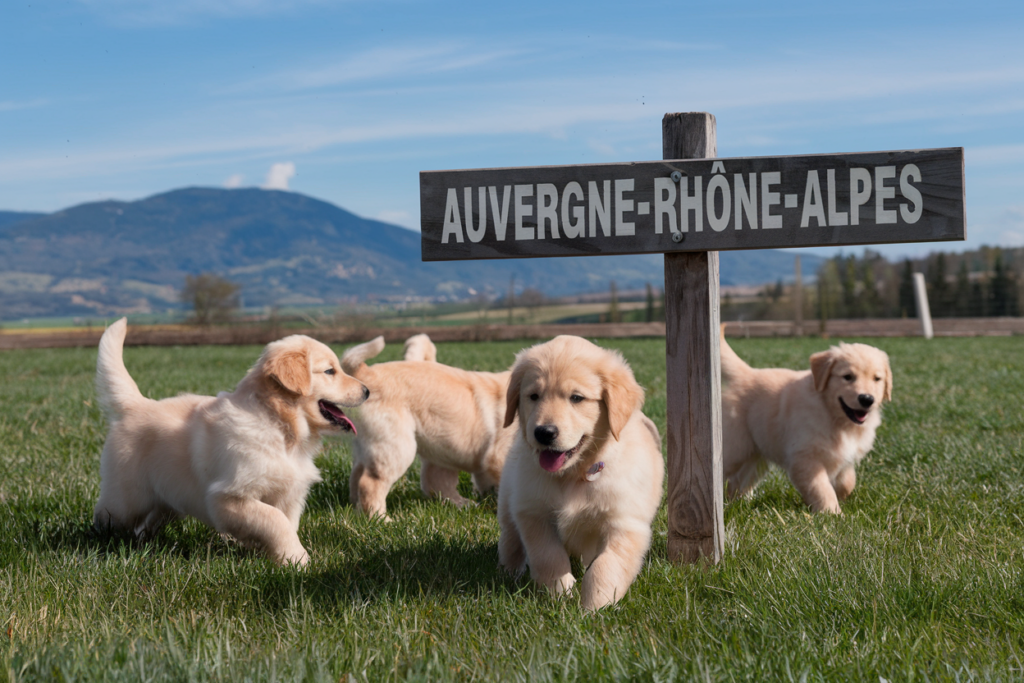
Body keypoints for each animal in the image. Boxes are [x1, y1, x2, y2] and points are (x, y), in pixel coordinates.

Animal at [93, 317, 368, 565]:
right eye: (330, 371)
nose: (367, 390)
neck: (278, 426)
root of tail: (137, 404)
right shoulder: (228, 496)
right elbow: (275, 520)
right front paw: (297, 560)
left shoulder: (289, 494)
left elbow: (285, 522)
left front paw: (280, 557)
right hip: (127, 497)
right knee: (106, 514)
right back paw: (100, 540)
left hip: (168, 497)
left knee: (151, 519)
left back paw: (144, 542)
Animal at [342, 335, 516, 518]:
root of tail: (366, 373)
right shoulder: (499, 456)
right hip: (397, 446)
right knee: (370, 482)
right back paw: (381, 519)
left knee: (358, 476)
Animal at [495, 335, 663, 610]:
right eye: (533, 396)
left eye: (576, 398)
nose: (544, 433)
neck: (574, 475)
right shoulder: (533, 513)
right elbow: (548, 555)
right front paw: (560, 594)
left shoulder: (625, 523)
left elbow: (606, 566)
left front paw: (595, 607)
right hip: (509, 501)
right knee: (510, 539)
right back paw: (508, 572)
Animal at [720, 329, 897, 511]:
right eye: (847, 377)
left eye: (877, 379)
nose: (867, 399)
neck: (834, 416)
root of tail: (747, 373)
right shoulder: (806, 457)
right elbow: (821, 488)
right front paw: (831, 512)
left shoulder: (846, 455)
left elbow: (848, 481)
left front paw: (841, 496)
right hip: (736, 447)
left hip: (757, 452)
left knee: (741, 479)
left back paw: (740, 503)